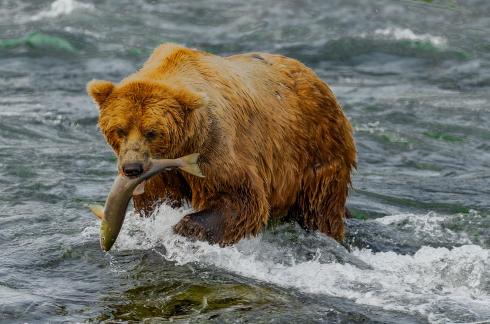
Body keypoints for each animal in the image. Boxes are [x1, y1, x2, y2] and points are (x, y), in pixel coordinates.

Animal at [87, 43, 356, 246]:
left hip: (315, 151)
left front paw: (185, 227)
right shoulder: (163, 172)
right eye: (120, 130)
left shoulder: (214, 144)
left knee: (320, 207)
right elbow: (156, 199)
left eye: (152, 132)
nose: (132, 169)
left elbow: (239, 196)